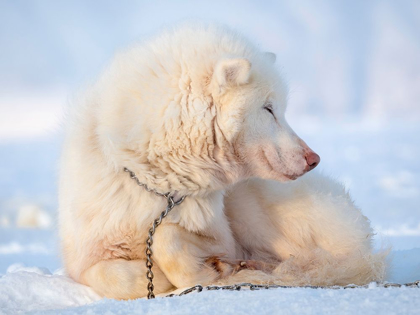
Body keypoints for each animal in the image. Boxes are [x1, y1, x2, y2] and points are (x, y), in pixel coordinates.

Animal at [59, 23, 388, 300]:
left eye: (280, 109)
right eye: (268, 109)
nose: (313, 159)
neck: (160, 184)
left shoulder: (222, 239)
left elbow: (166, 236)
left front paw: (199, 273)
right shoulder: (85, 256)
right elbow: (111, 275)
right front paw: (158, 280)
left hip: (253, 209)